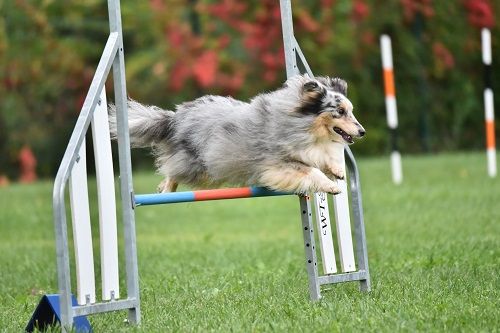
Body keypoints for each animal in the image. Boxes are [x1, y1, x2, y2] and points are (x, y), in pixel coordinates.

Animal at [109, 74, 366, 195]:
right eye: (340, 111)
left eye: (351, 110)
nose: (362, 132)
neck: (302, 124)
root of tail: (175, 117)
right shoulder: (278, 164)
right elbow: (311, 171)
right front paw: (332, 187)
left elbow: (322, 159)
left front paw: (337, 170)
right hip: (199, 167)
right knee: (172, 171)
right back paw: (166, 189)